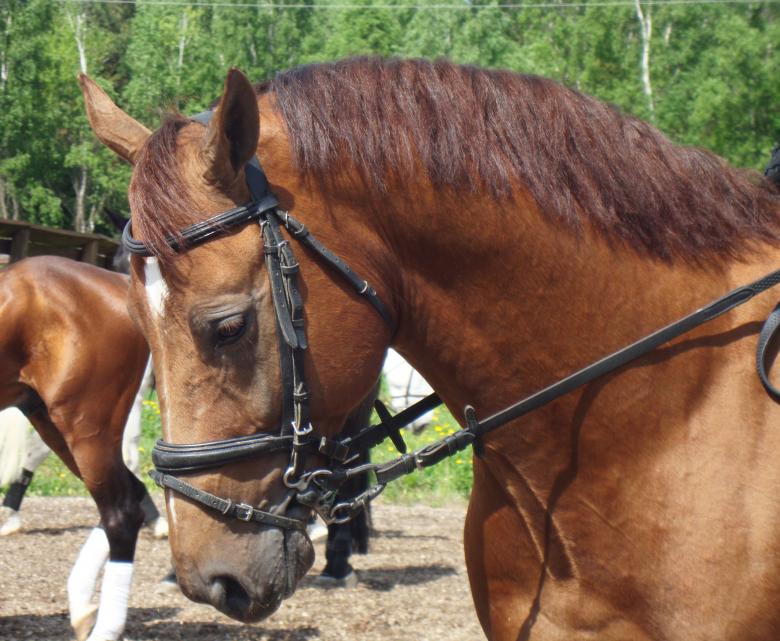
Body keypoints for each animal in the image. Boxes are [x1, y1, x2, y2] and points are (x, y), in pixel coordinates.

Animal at [0, 256, 151, 641]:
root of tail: (118, 283)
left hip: (86, 427)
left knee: (121, 512)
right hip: (52, 421)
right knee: (133, 493)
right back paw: (82, 606)